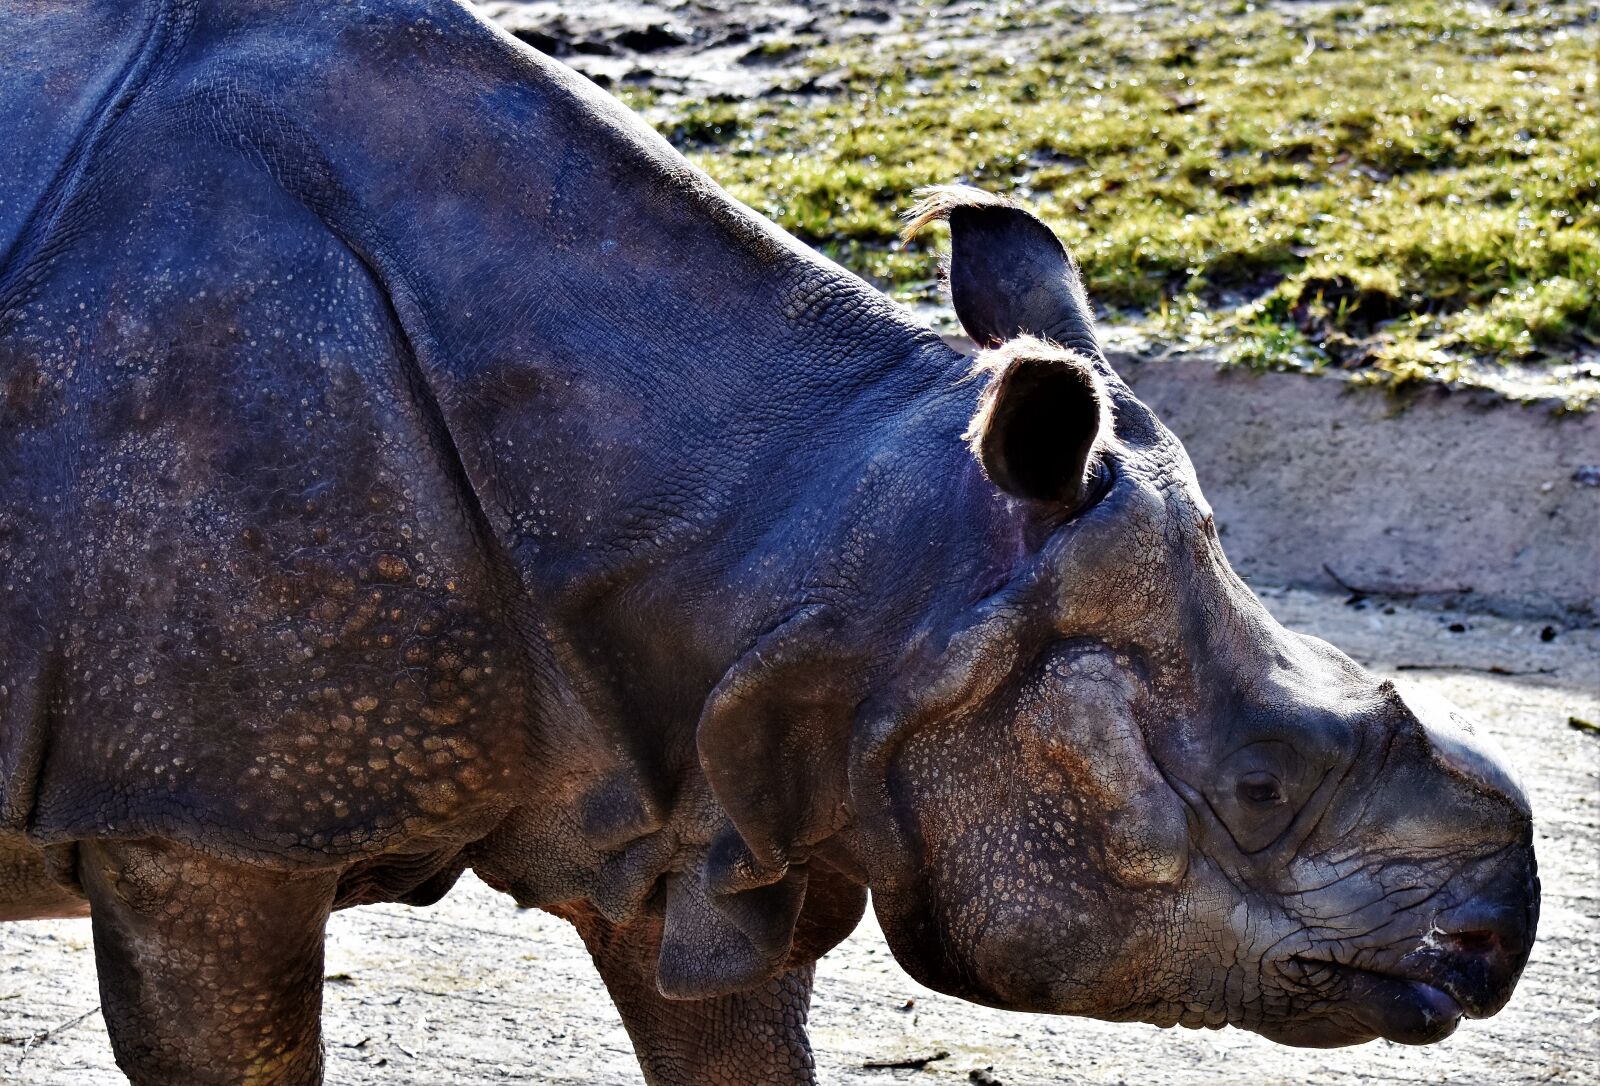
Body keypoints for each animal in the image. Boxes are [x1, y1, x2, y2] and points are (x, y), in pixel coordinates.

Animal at [0, 1, 1537, 1083]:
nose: (1493, 936)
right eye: (1262, 785)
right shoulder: (196, 822)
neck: (837, 540)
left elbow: (734, 1041)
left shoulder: (721, 786)